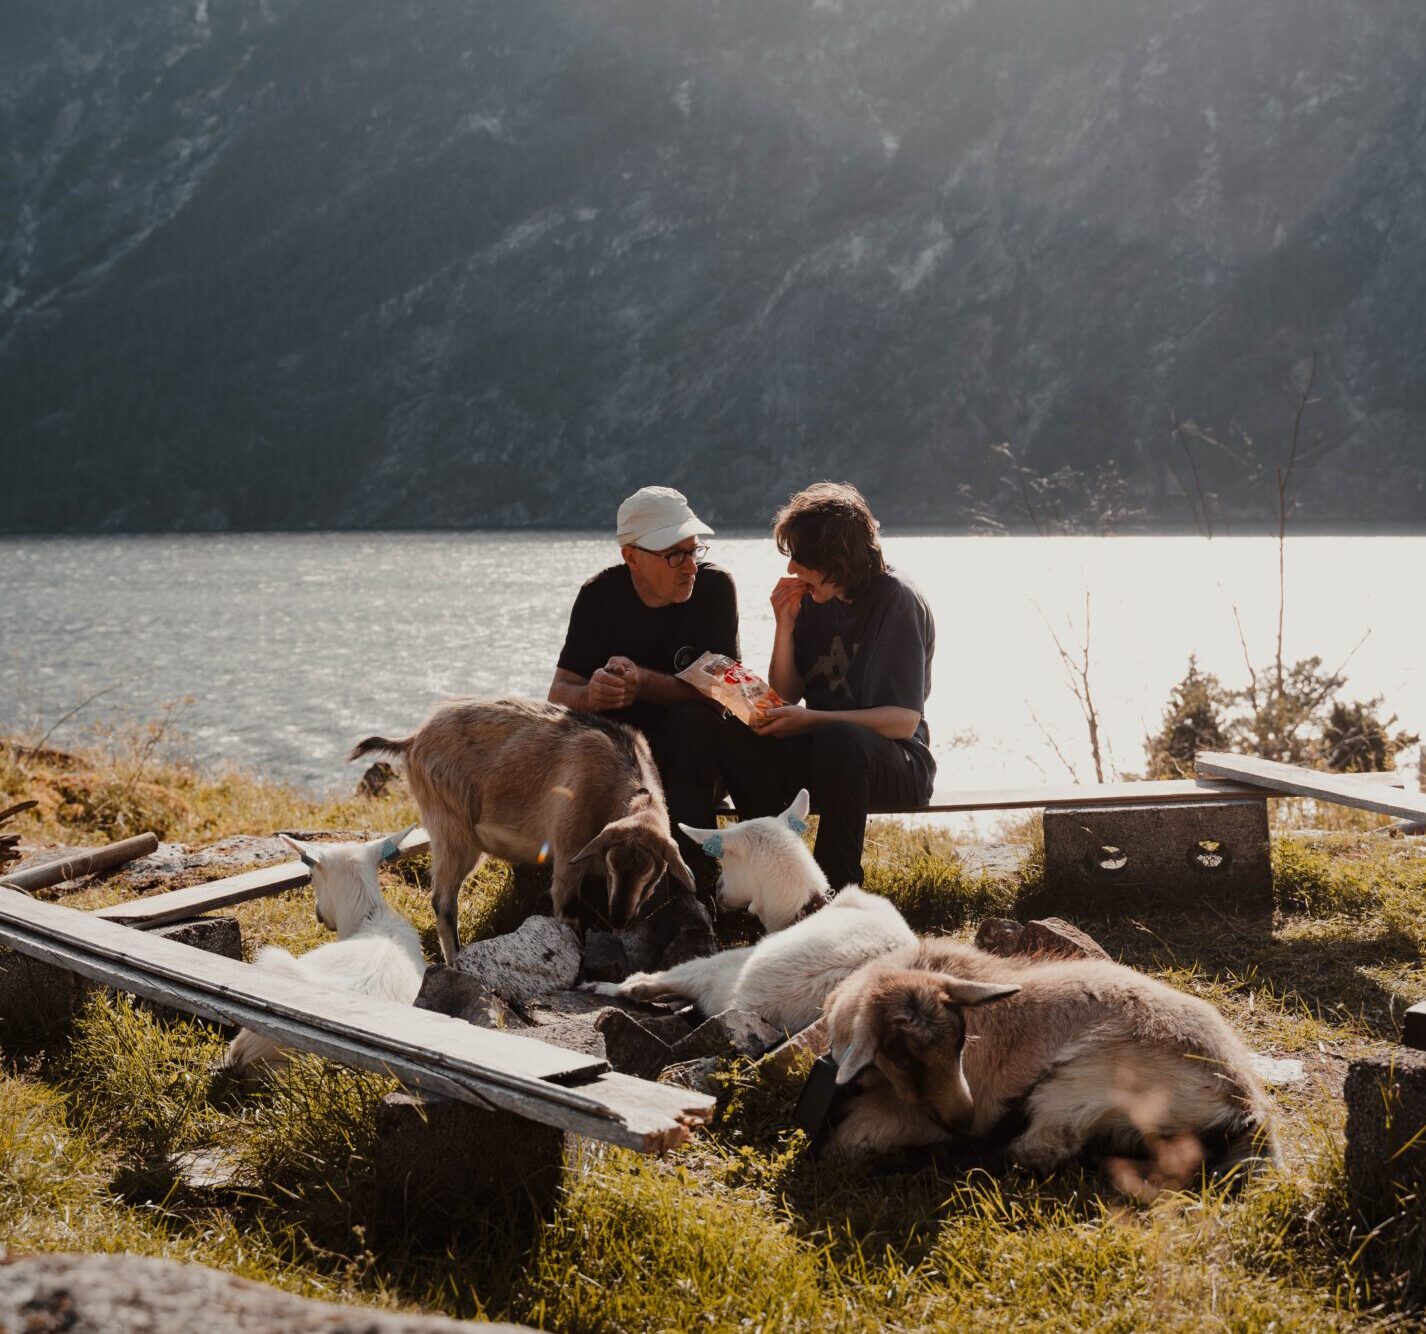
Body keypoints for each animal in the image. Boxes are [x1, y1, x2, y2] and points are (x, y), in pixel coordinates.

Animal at [353, 693, 693, 964]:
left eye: (651, 874)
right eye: (612, 866)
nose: (619, 918)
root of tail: (413, 740)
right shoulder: (569, 851)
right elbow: (566, 910)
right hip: (451, 828)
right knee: (443, 901)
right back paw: (455, 960)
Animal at [587, 793, 912, 1032]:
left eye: (725, 860)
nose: (718, 889)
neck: (804, 906)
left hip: (721, 966)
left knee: (648, 984)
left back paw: (601, 985)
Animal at [821, 941, 1277, 1181]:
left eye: (960, 1043)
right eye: (905, 1059)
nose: (963, 1121)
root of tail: (1246, 1103)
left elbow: (847, 1141)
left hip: (1078, 1083)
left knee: (1040, 1148)